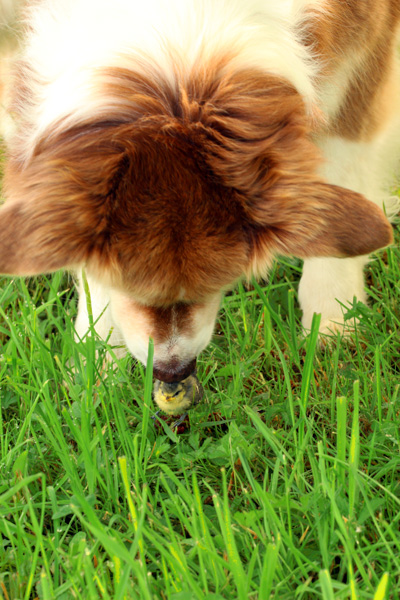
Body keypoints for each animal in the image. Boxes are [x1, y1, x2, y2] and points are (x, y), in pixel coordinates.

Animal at [0, 1, 398, 398]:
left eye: (217, 284)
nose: (172, 370)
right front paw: (97, 363)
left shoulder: (369, 39)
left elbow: (344, 165)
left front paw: (334, 319)